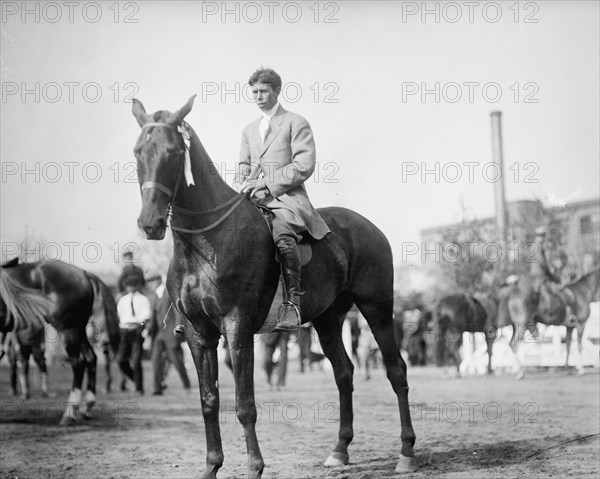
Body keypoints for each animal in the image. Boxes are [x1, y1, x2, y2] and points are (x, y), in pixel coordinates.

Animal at [0, 260, 120, 426]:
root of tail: (84, 273)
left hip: (67, 329)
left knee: (78, 362)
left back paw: (69, 414)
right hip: (78, 329)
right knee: (91, 358)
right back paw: (86, 406)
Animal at [129, 95, 414, 478]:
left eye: (173, 152)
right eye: (138, 152)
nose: (151, 223)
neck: (206, 241)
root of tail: (369, 226)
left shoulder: (237, 328)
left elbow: (244, 404)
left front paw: (254, 467)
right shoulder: (198, 333)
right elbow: (208, 401)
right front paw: (211, 466)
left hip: (377, 309)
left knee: (396, 370)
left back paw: (406, 451)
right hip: (328, 319)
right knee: (344, 373)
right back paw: (340, 450)